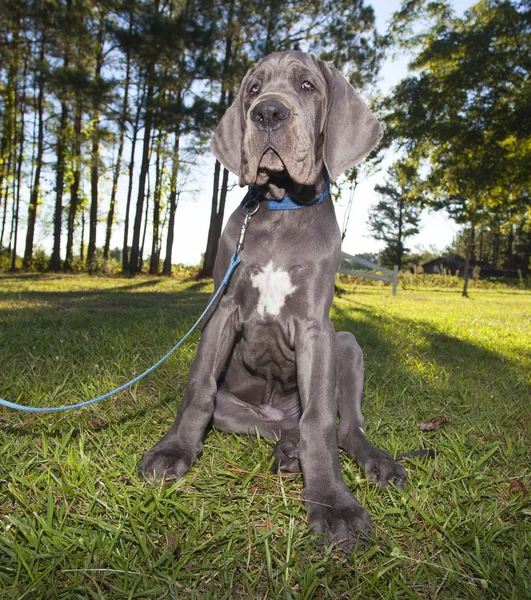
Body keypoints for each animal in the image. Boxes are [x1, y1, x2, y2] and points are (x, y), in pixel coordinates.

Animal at [138, 49, 408, 552]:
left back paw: (373, 459)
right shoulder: (222, 311)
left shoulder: (316, 329)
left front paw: (333, 503)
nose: (266, 113)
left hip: (347, 345)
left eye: (307, 86)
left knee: (345, 425)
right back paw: (286, 449)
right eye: (253, 89)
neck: (283, 207)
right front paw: (173, 450)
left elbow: (320, 421)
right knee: (276, 425)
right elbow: (197, 389)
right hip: (238, 411)